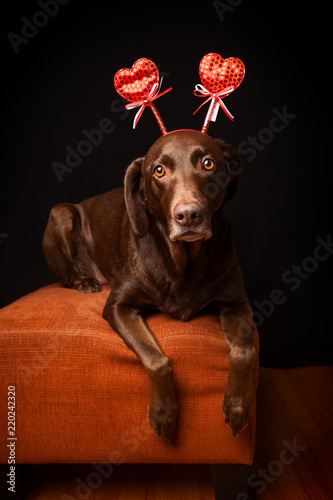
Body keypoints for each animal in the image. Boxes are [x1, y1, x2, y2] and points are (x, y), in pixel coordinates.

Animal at [42, 130, 255, 442]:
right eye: (159, 170)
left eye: (208, 163)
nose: (188, 215)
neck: (184, 261)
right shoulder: (118, 306)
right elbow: (157, 360)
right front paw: (164, 413)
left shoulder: (236, 302)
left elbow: (245, 350)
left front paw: (238, 404)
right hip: (62, 212)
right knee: (66, 273)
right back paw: (84, 280)